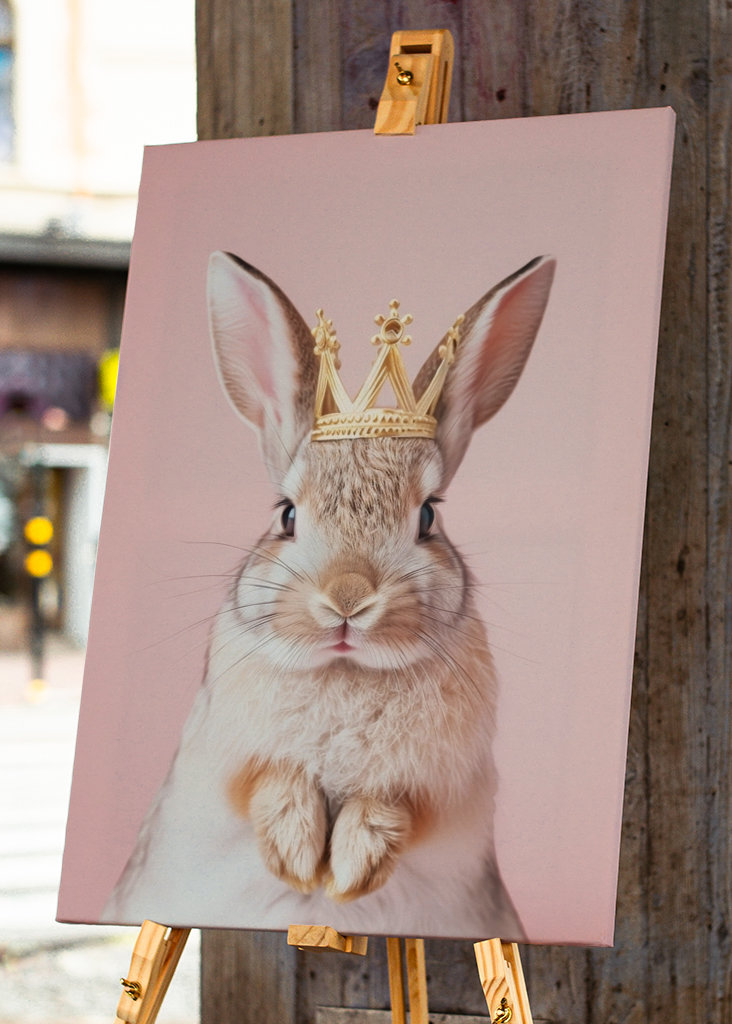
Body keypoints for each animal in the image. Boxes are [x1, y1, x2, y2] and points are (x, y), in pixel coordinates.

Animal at [102, 250, 555, 939]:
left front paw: (351, 869)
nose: (347, 598)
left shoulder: (448, 790)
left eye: (428, 517)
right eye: (286, 515)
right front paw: (296, 856)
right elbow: (269, 780)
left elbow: (399, 805)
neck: (346, 671)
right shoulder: (219, 760)